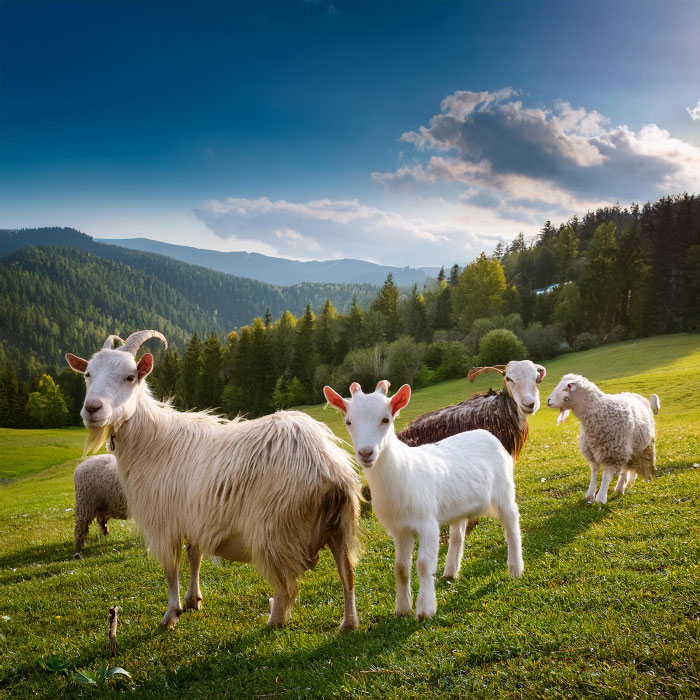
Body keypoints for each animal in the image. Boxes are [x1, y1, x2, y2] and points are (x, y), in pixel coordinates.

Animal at [322, 380, 520, 620]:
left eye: (386, 419)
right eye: (348, 421)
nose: (366, 453)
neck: (403, 472)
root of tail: (487, 433)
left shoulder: (427, 523)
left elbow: (424, 565)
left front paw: (425, 609)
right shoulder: (399, 530)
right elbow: (400, 568)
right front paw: (402, 609)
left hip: (504, 489)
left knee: (512, 523)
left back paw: (515, 568)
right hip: (459, 504)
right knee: (458, 534)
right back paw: (450, 571)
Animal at [548, 372, 660, 504]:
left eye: (564, 388)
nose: (548, 400)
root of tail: (634, 394)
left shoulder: (613, 454)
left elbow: (606, 476)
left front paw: (601, 498)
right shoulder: (592, 453)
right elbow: (594, 474)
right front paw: (590, 495)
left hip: (638, 446)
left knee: (626, 470)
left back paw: (621, 487)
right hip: (629, 449)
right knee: (626, 468)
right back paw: (621, 487)